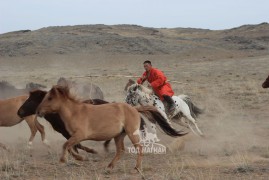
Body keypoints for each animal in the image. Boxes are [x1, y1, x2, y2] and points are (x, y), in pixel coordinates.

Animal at [36, 86, 185, 172]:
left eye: (50, 98)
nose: (38, 111)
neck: (75, 112)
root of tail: (134, 109)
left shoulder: (80, 135)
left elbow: (67, 145)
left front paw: (65, 159)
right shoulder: (73, 136)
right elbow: (70, 146)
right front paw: (79, 157)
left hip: (131, 133)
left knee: (139, 148)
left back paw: (137, 167)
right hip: (119, 135)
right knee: (121, 150)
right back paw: (109, 166)